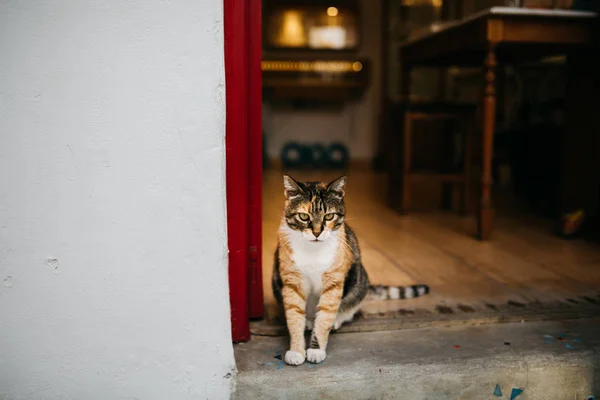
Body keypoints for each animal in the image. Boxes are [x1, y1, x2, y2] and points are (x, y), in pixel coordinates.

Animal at [272, 175, 432, 366]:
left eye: (329, 216)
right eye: (303, 216)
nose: (317, 233)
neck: (313, 250)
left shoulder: (333, 283)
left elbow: (324, 317)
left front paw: (316, 350)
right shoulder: (292, 281)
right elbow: (294, 316)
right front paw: (296, 351)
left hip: (357, 282)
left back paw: (335, 320)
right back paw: (309, 321)